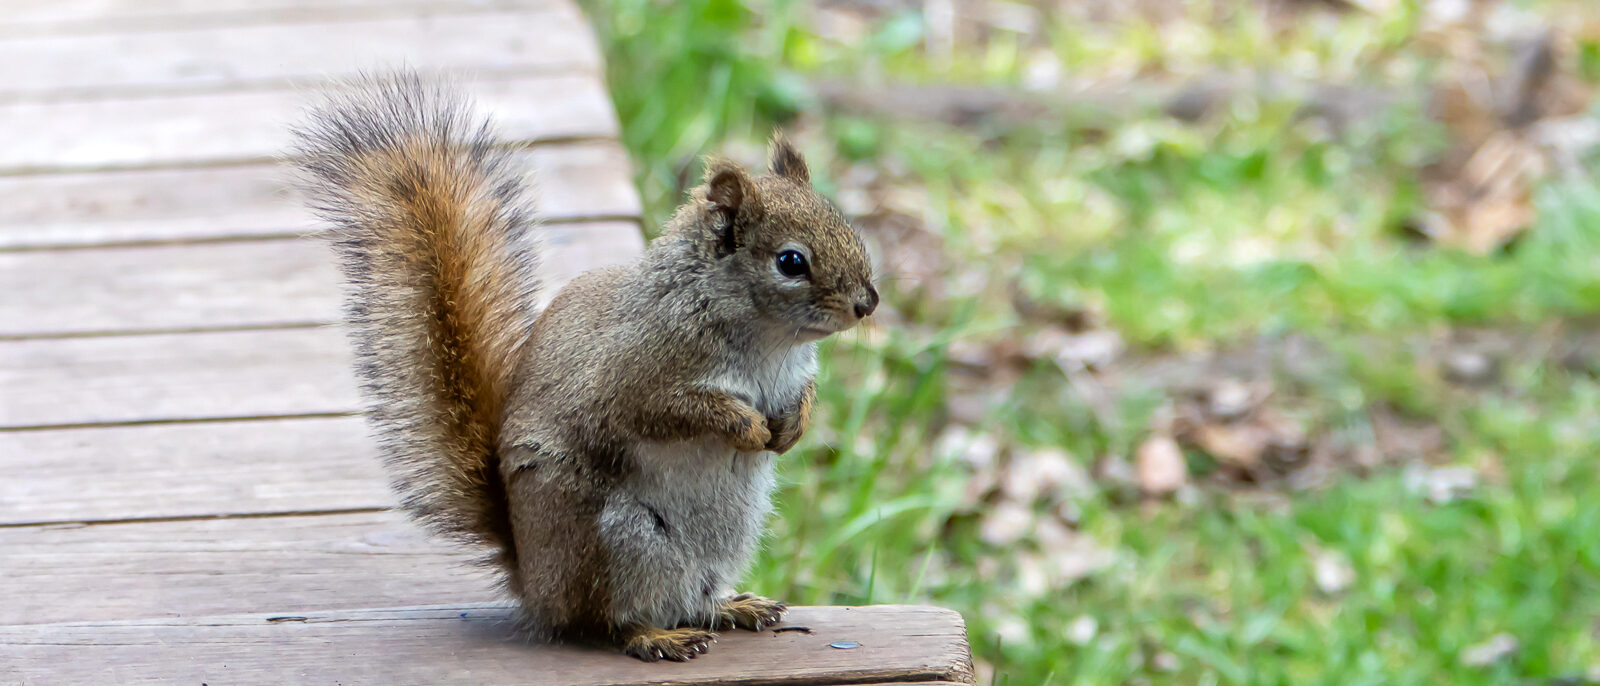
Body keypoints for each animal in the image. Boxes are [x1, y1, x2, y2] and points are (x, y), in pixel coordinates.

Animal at [290, 73, 877, 662]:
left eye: (847, 228)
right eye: (791, 262)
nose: (868, 303)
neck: (768, 340)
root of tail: (536, 587)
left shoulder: (791, 374)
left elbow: (801, 396)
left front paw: (793, 427)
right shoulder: (636, 374)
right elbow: (669, 411)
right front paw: (746, 426)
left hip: (726, 536)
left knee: (692, 598)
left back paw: (733, 607)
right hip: (621, 543)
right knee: (609, 620)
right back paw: (657, 635)